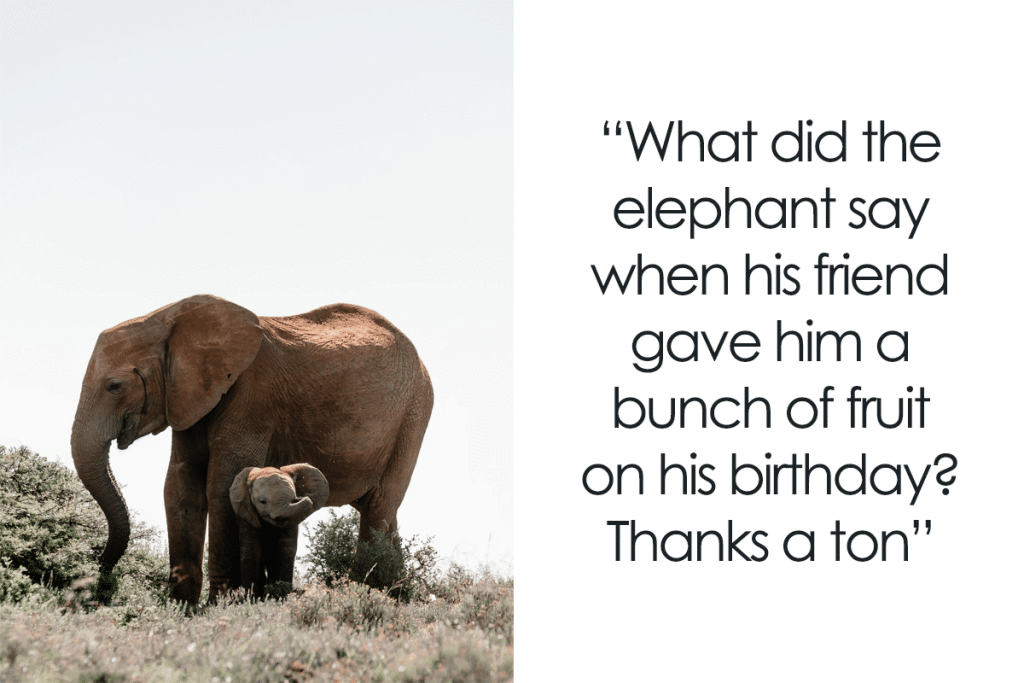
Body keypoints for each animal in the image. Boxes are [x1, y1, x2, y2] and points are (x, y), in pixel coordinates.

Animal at [229, 464, 329, 596]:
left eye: (293, 499)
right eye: (262, 502)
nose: (302, 498)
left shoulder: (292, 520)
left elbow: (286, 549)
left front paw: (282, 594)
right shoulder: (246, 514)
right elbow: (251, 549)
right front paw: (248, 596)